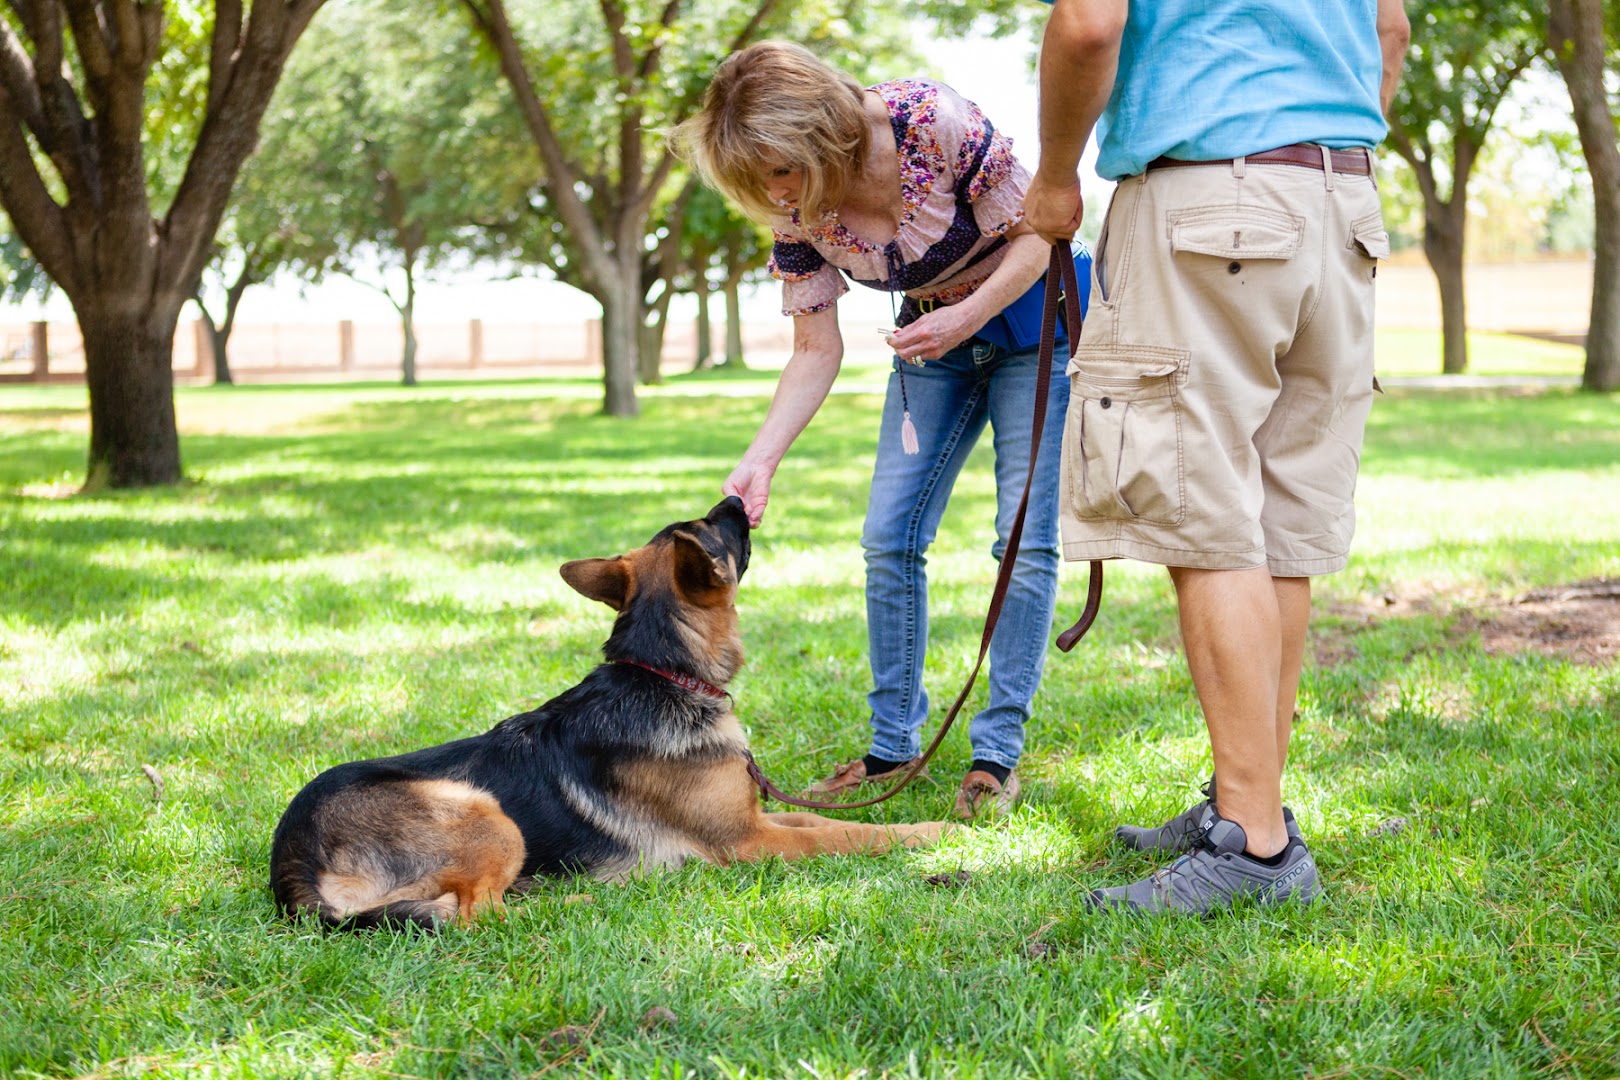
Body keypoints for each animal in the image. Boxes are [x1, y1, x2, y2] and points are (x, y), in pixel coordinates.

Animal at [267, 498, 946, 932]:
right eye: (710, 528)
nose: (736, 496)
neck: (663, 671)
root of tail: (292, 857)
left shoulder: (754, 819)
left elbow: (818, 820)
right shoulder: (748, 842)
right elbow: (844, 835)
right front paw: (932, 832)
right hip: (485, 813)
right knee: (476, 915)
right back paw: (580, 904)